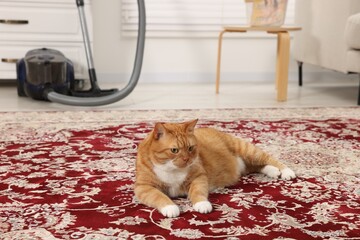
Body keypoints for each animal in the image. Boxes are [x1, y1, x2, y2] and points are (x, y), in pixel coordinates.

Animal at [135, 119, 296, 218]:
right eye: (174, 150)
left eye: (190, 148)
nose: (187, 159)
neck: (171, 169)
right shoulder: (143, 187)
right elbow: (158, 196)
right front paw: (170, 207)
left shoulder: (199, 176)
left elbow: (197, 191)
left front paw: (202, 204)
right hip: (248, 163)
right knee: (257, 167)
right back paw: (273, 171)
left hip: (248, 151)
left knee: (268, 159)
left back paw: (286, 171)